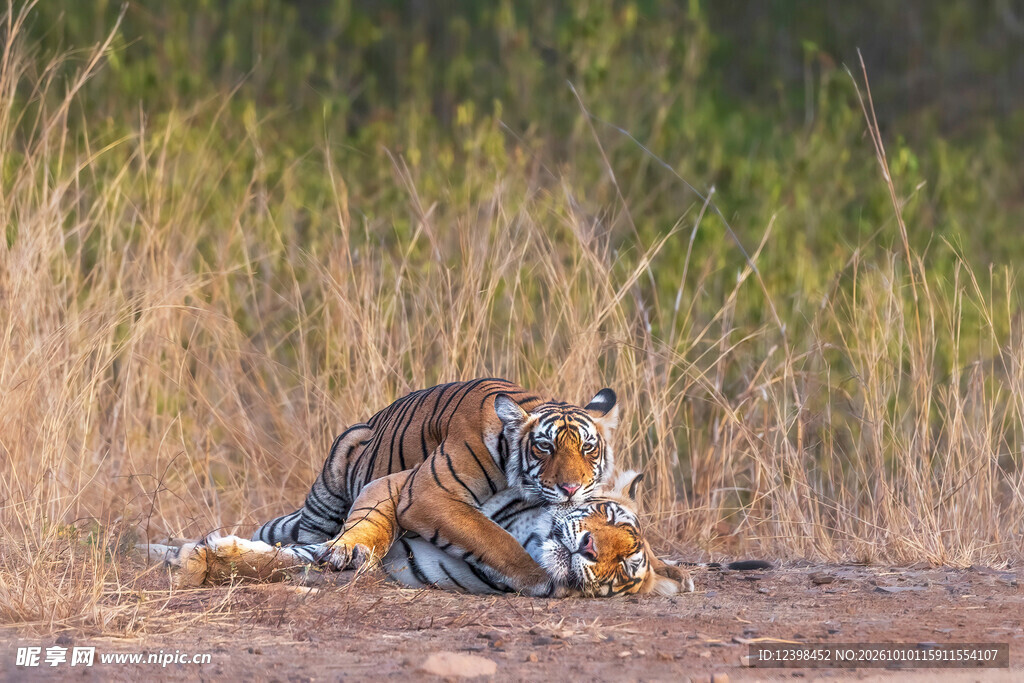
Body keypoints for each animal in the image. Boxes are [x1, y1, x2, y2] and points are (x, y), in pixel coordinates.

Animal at [249, 379, 623, 596]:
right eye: (544, 447)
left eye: (588, 448)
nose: (571, 488)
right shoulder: (427, 493)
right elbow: (493, 537)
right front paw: (543, 578)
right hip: (330, 485)